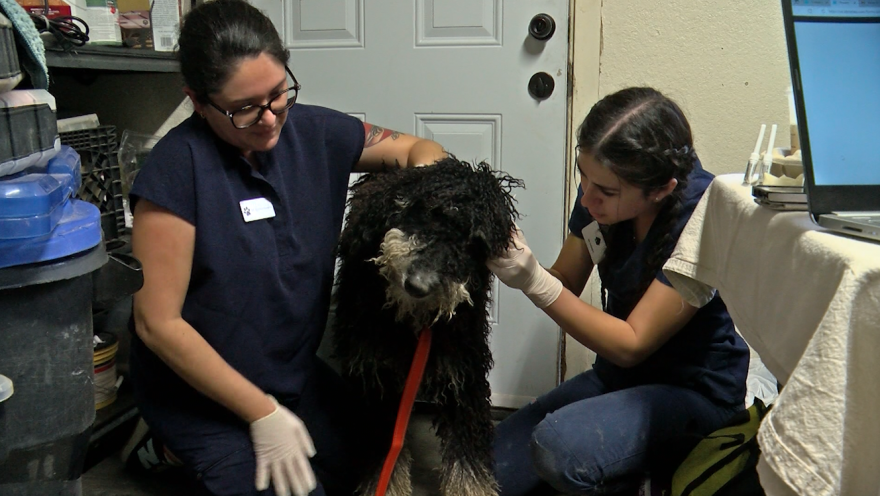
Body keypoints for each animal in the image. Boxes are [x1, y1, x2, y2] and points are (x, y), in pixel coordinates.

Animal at [332, 156, 524, 496]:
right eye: (433, 213)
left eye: (474, 242)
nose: (419, 285)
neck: (412, 321)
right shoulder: (377, 380)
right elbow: (383, 459)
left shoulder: (463, 375)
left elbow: (469, 464)